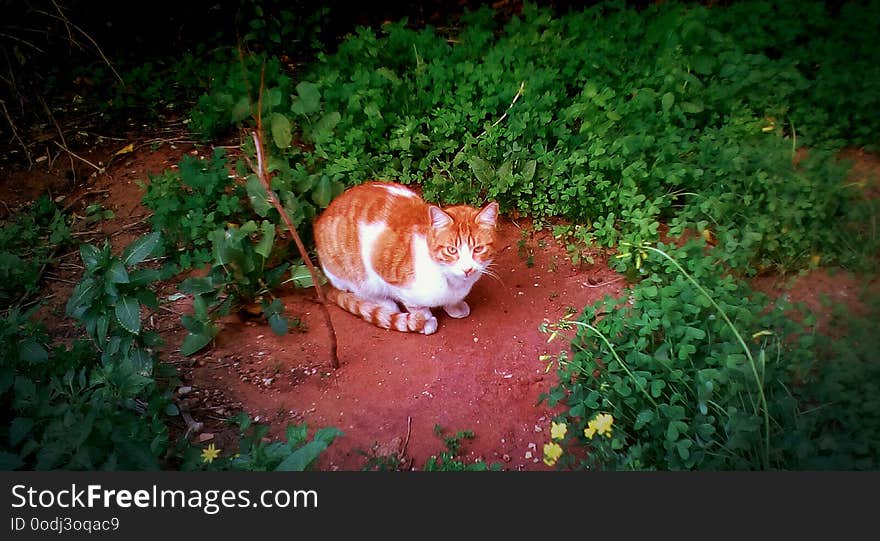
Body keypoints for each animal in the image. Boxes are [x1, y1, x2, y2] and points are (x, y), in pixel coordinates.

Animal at [312, 181, 498, 334]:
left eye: (478, 249)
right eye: (452, 250)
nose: (468, 269)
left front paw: (454, 306)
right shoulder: (380, 263)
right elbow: (415, 305)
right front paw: (424, 319)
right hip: (352, 273)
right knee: (361, 290)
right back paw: (385, 304)